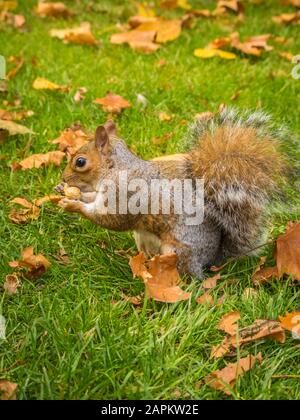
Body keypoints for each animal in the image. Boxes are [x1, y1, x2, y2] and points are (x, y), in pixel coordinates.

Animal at [58, 108, 286, 278]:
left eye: (80, 162)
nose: (64, 178)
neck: (117, 168)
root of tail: (212, 259)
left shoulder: (124, 196)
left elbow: (110, 219)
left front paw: (73, 205)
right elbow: (92, 199)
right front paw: (67, 193)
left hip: (178, 252)